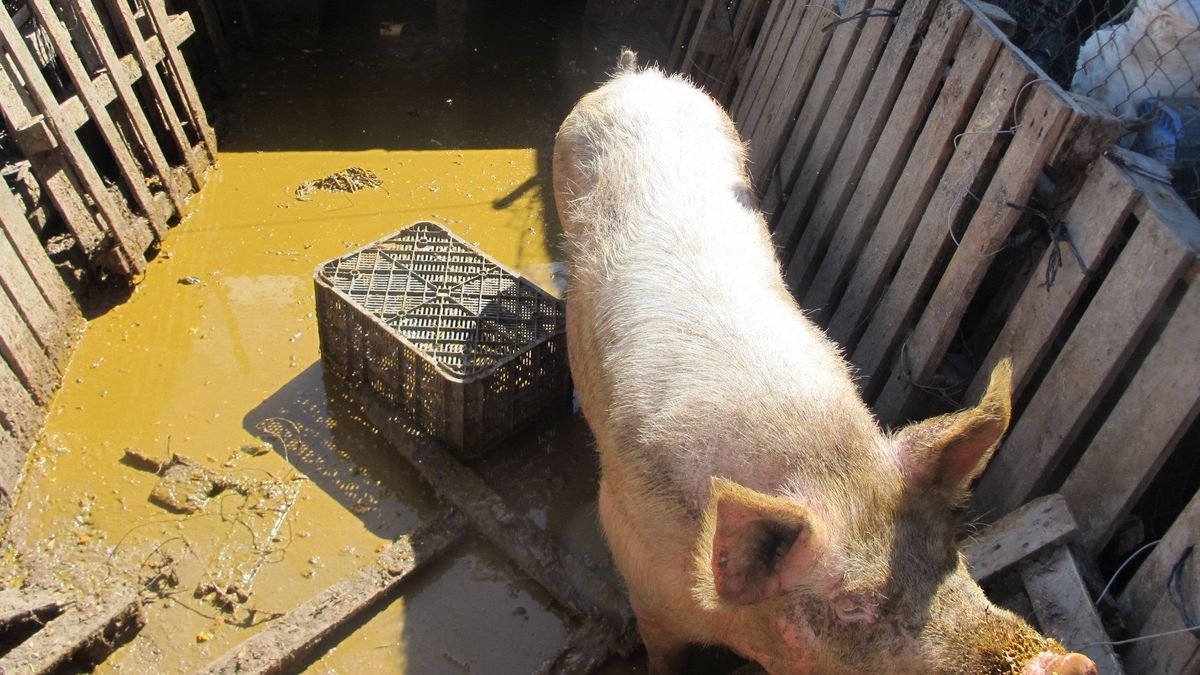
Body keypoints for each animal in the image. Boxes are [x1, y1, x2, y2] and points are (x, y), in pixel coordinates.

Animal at [549, 52, 1099, 672]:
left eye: (950, 548)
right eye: (852, 607)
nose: (1065, 663)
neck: (823, 462)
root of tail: (634, 76)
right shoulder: (645, 586)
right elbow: (663, 655)